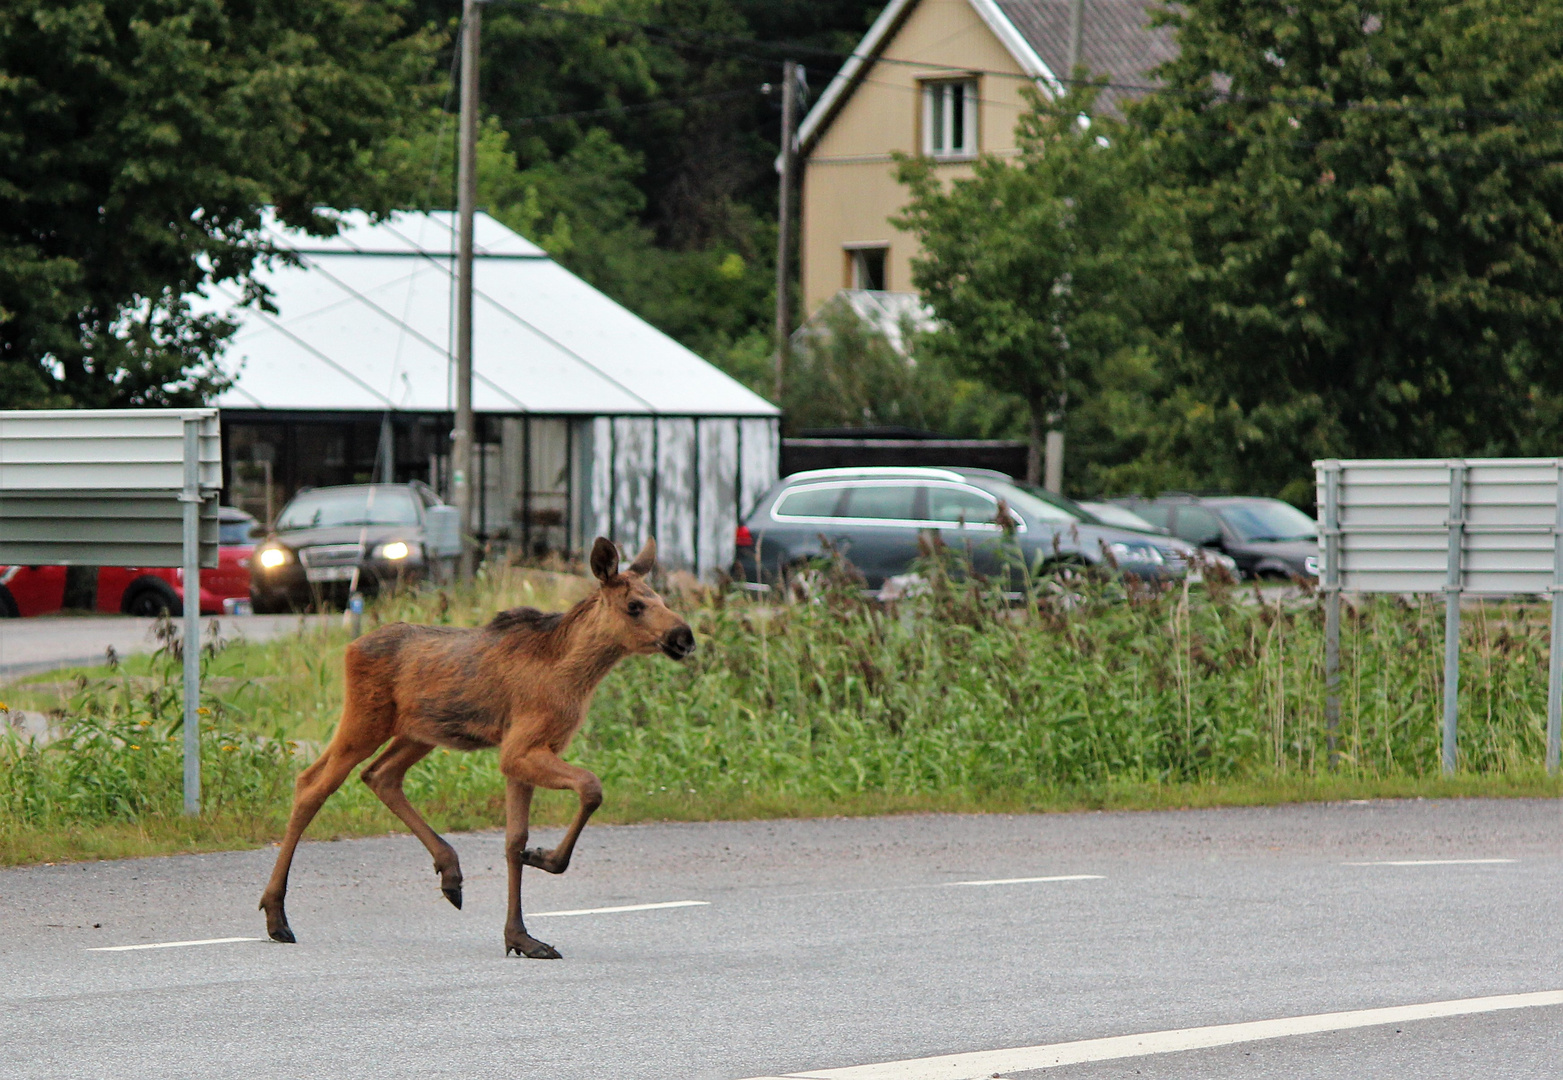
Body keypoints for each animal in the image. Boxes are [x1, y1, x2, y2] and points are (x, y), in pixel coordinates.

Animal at [259, 537, 693, 956]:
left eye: (663, 600)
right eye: (635, 606)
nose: (684, 637)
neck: (576, 676)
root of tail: (349, 648)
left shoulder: (525, 753)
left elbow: (514, 840)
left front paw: (521, 937)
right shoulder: (519, 748)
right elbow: (590, 786)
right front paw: (545, 859)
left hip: (420, 732)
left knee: (380, 775)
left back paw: (450, 873)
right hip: (366, 719)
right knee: (312, 784)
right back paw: (276, 915)